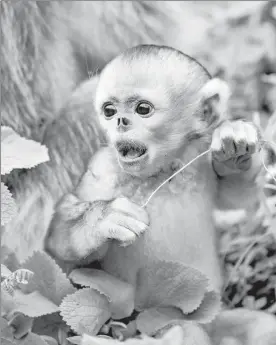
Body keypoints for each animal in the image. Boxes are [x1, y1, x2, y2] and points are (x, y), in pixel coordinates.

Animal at [46, 43, 262, 304]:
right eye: (109, 110)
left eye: (142, 109)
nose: (120, 121)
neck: (161, 175)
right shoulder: (102, 170)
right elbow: (59, 243)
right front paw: (101, 219)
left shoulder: (199, 158)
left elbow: (236, 202)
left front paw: (234, 147)